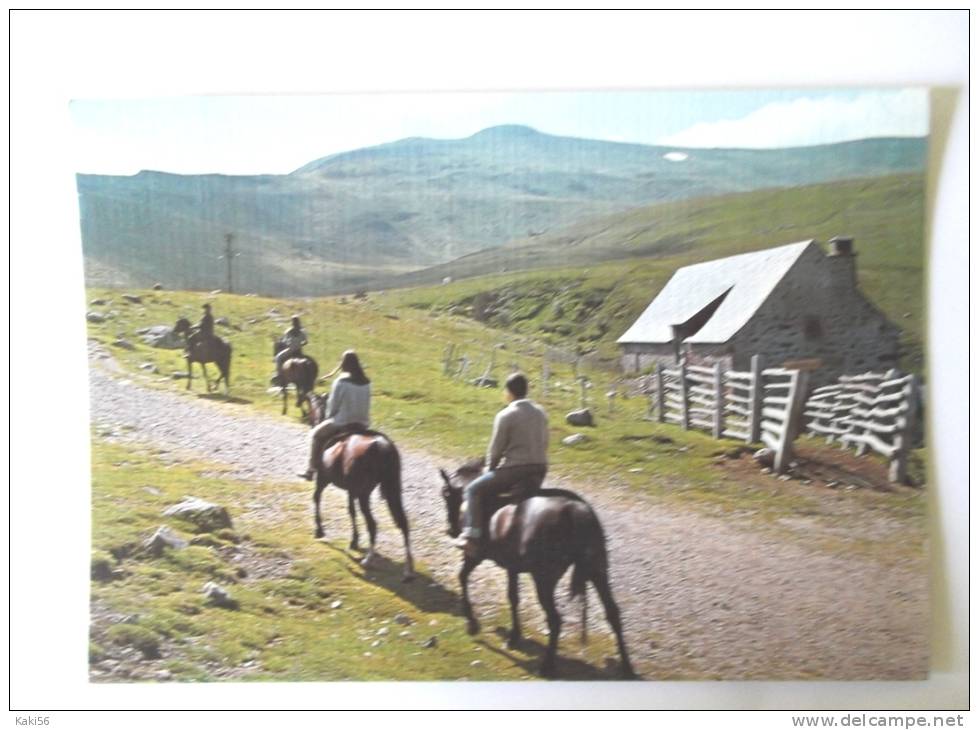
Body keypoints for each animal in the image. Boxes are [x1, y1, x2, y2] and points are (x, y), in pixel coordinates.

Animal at [306, 392, 414, 580]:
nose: (308, 418)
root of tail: (381, 445)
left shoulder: (323, 480)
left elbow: (317, 498)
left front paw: (319, 530)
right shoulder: (351, 491)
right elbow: (351, 511)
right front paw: (354, 541)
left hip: (364, 493)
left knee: (373, 524)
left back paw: (368, 560)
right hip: (391, 490)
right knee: (403, 523)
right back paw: (408, 570)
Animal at [440, 460, 640, 676]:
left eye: (446, 494)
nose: (451, 530)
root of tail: (574, 510)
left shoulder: (474, 556)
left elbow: (462, 577)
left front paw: (472, 624)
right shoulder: (512, 567)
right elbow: (513, 597)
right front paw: (514, 636)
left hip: (544, 579)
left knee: (555, 619)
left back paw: (548, 665)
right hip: (597, 571)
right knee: (613, 613)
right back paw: (627, 669)